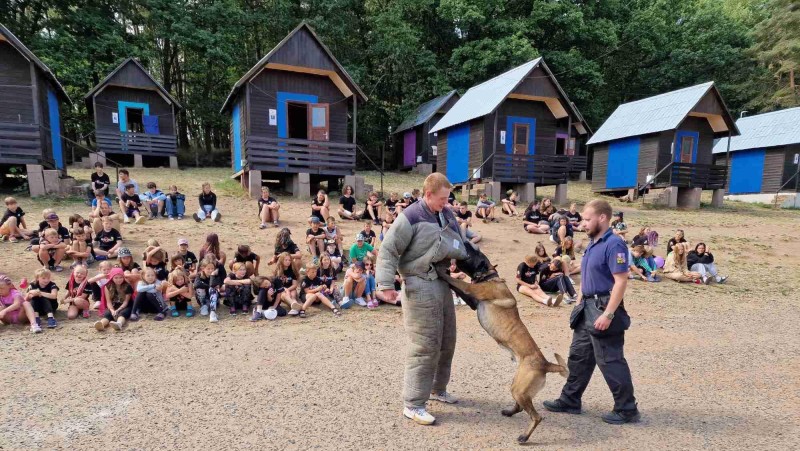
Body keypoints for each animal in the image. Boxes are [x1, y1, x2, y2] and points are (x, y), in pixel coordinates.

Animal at [438, 244, 568, 444]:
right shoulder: (472, 300)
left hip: (520, 390)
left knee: (536, 417)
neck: (489, 276)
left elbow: (453, 280)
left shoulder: (471, 289)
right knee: (522, 407)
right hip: (518, 386)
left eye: (474, 251)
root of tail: (546, 364)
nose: (466, 242)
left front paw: (439, 271)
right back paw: (509, 412)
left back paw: (524, 436)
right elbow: (454, 285)